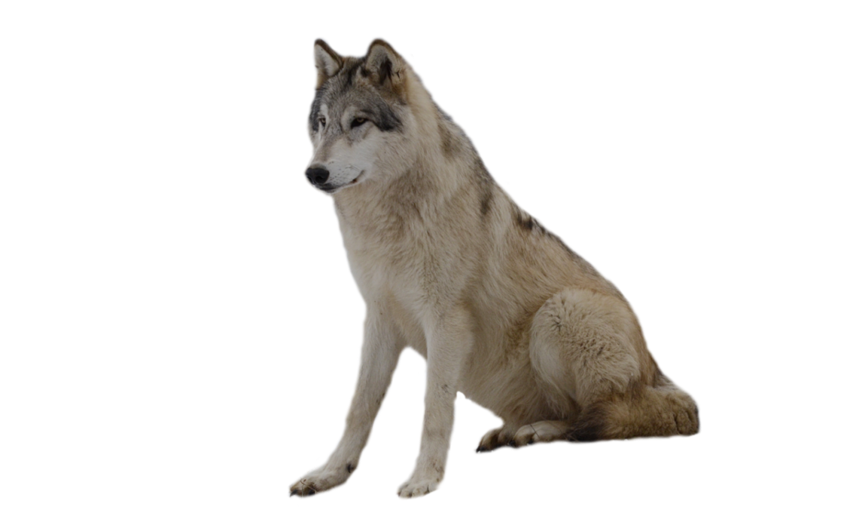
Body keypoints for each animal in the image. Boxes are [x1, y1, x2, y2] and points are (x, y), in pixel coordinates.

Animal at [290, 39, 699, 498]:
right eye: (322, 123)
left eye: (358, 121)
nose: (314, 173)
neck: (390, 220)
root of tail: (659, 373)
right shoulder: (379, 320)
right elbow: (359, 408)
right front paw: (329, 474)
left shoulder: (446, 323)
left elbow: (434, 408)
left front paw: (424, 479)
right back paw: (510, 432)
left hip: (559, 312)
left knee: (602, 418)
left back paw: (535, 431)